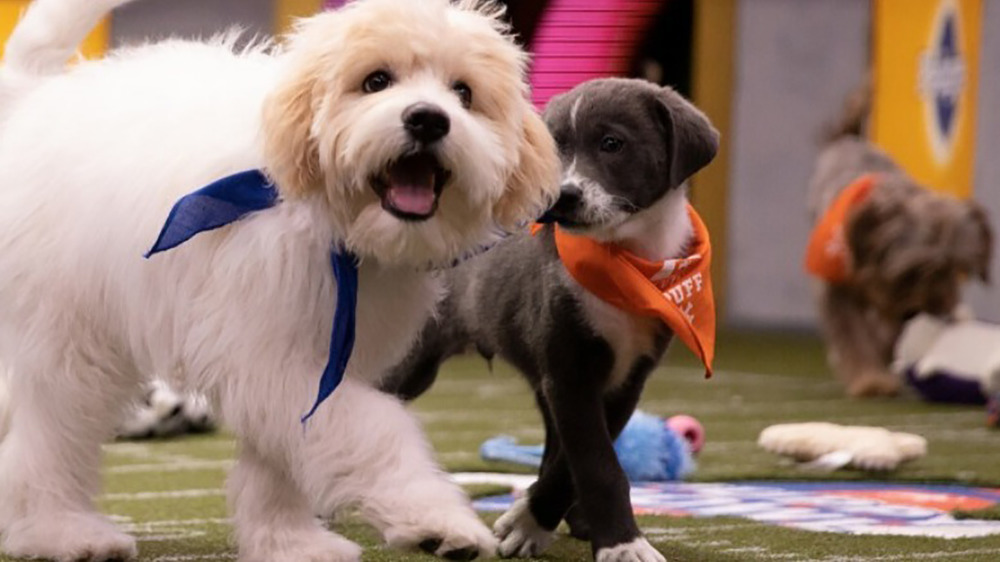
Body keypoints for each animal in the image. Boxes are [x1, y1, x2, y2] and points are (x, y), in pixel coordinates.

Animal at [0, 1, 564, 560]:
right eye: (376, 80)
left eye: (463, 92)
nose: (428, 118)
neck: (321, 215)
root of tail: (31, 100)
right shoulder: (271, 354)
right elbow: (373, 429)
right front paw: (437, 518)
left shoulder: (311, 359)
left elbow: (284, 457)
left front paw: (289, 542)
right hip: (66, 340)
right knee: (46, 438)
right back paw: (62, 532)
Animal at [382, 77, 720, 560]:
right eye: (554, 146)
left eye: (612, 143)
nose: (563, 195)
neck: (624, 257)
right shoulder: (569, 370)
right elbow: (596, 462)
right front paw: (620, 543)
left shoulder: (624, 378)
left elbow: (578, 457)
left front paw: (534, 520)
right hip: (412, 363)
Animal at [808, 94, 996, 396]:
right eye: (912, 272)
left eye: (954, 270)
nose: (938, 311)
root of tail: (850, 139)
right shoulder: (835, 288)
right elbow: (851, 333)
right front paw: (871, 379)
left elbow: (889, 333)